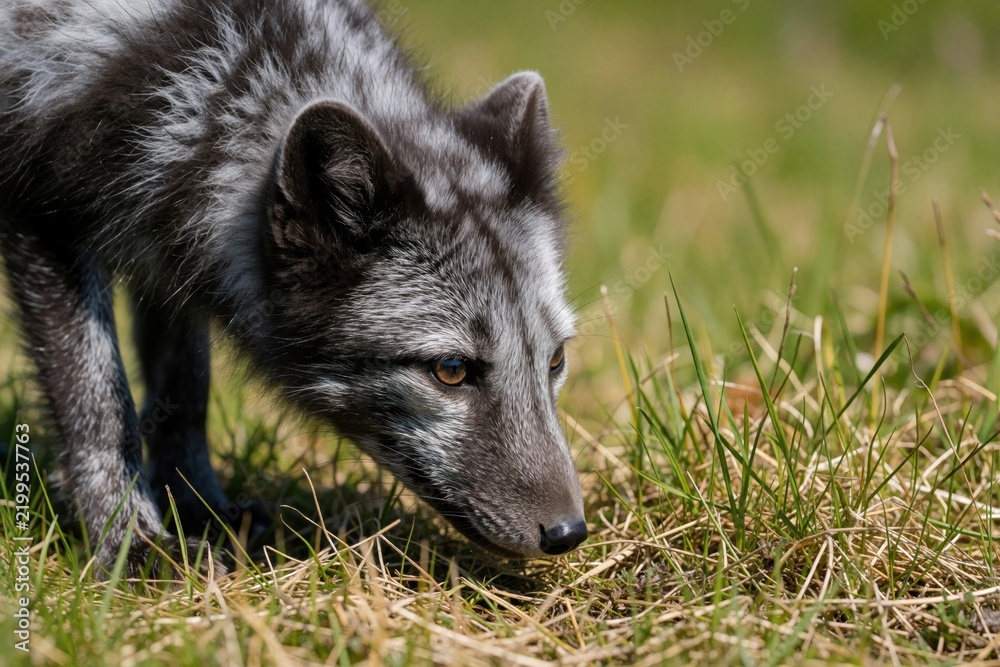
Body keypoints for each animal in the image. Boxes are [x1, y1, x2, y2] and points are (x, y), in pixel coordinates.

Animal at [0, 0, 587, 577]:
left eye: (555, 360)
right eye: (450, 370)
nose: (570, 534)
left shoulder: (173, 250)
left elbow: (184, 392)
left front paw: (199, 508)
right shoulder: (45, 221)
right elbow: (101, 407)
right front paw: (133, 544)